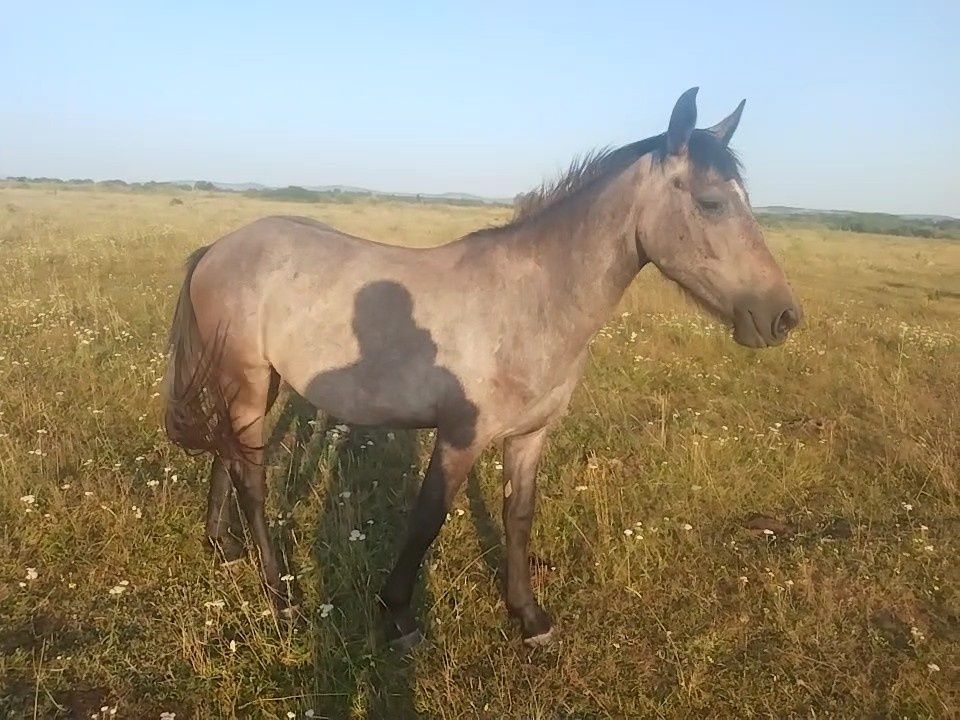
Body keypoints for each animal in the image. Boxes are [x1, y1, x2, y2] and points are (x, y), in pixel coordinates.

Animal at [163, 88, 804, 648]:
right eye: (711, 202)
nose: (783, 317)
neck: (531, 303)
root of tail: (219, 248)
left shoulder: (530, 436)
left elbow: (518, 518)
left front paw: (530, 617)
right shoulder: (460, 436)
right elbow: (427, 520)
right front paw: (397, 616)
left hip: (257, 383)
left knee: (229, 455)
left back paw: (224, 547)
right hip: (248, 381)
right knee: (252, 478)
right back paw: (280, 597)